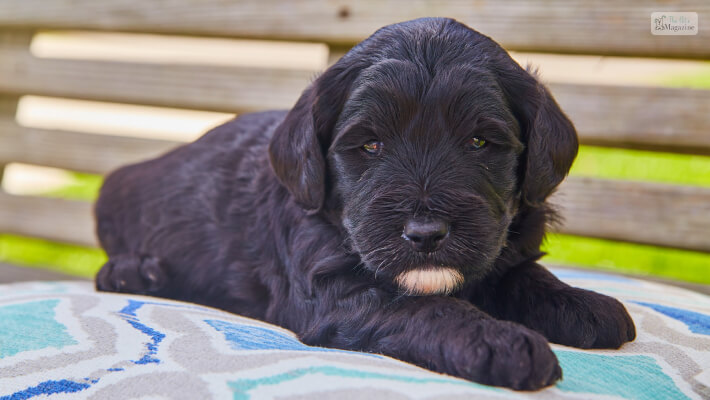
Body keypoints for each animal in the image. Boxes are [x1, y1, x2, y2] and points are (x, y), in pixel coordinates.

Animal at [94, 17, 636, 390]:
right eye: (370, 144)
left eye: (480, 142)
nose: (425, 234)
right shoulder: (336, 287)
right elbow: (424, 306)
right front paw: (499, 341)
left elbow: (523, 274)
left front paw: (582, 303)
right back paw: (133, 273)